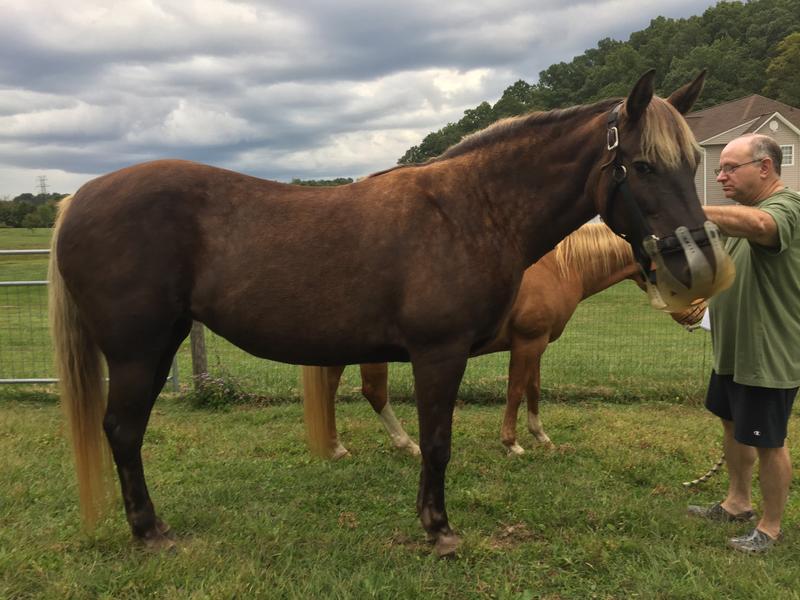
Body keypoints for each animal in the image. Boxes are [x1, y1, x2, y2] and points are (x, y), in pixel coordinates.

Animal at [316, 223, 708, 459]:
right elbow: (516, 391)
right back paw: (402, 443)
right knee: (373, 391)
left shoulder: (537, 344)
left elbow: (533, 389)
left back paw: (338, 447)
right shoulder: (528, 343)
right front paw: (512, 443)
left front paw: (540, 436)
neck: (561, 268)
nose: (699, 313)